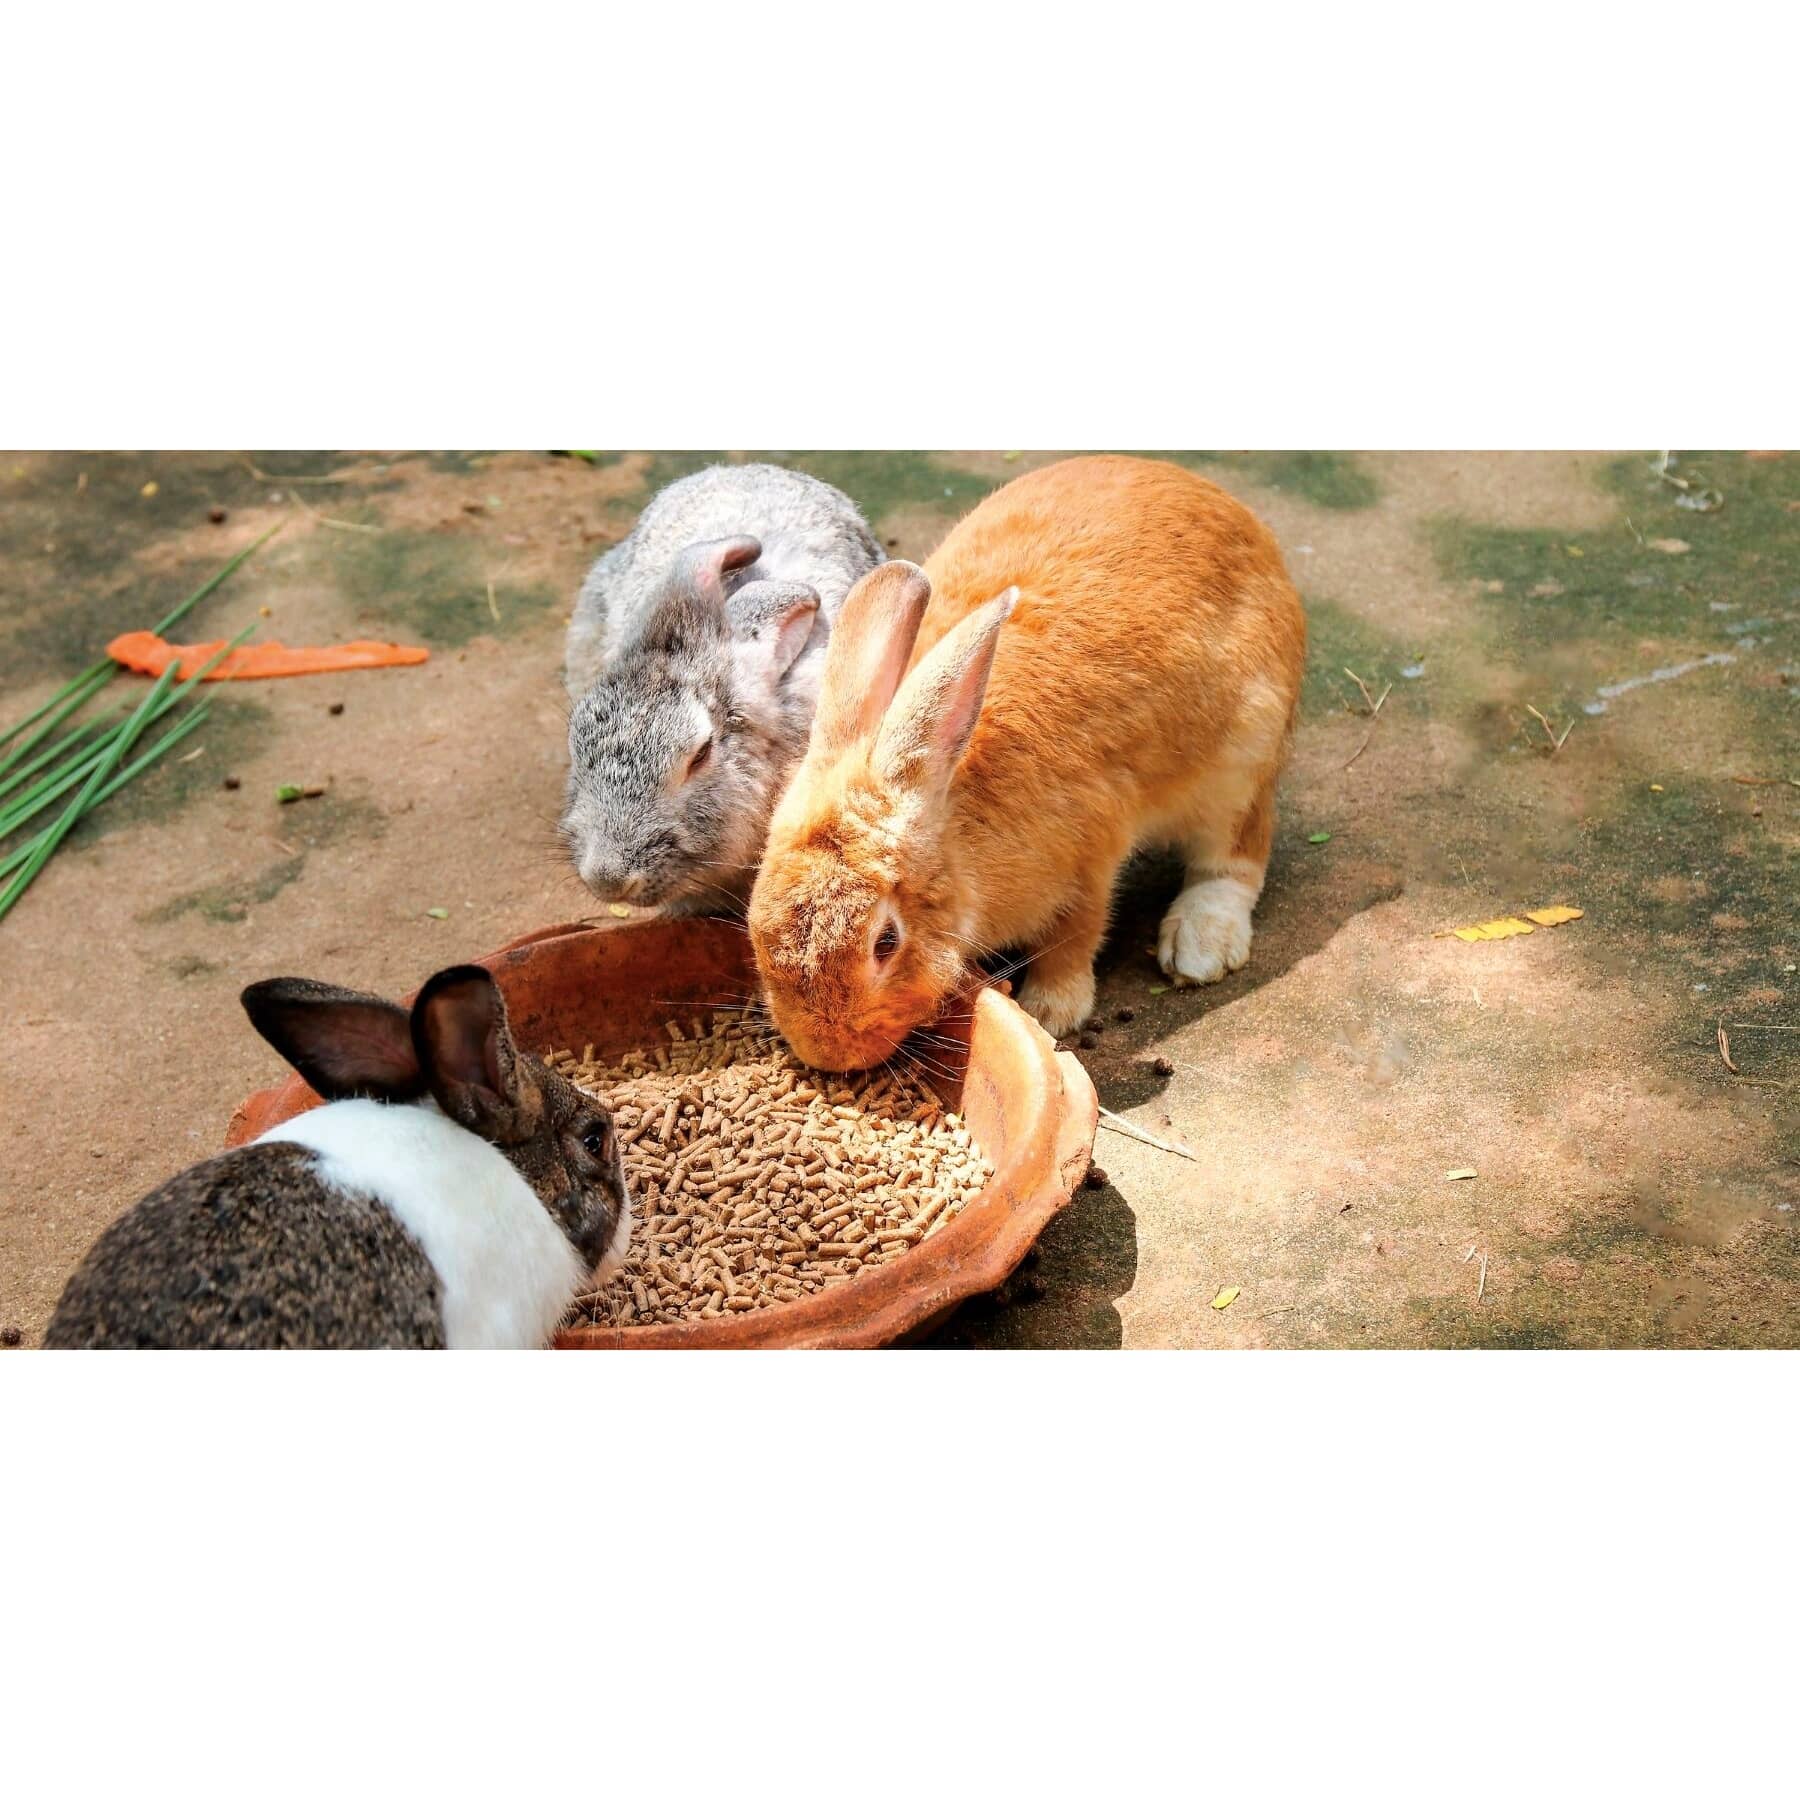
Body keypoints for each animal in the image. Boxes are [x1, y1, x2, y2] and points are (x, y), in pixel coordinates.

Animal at [746, 454, 1307, 1071]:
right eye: (754, 922)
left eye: (885, 942)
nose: (825, 1052)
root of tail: (1238, 516)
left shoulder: (1089, 858)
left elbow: (1075, 936)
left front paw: (1050, 1012)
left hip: (1242, 759)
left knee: (1235, 856)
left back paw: (1200, 946)